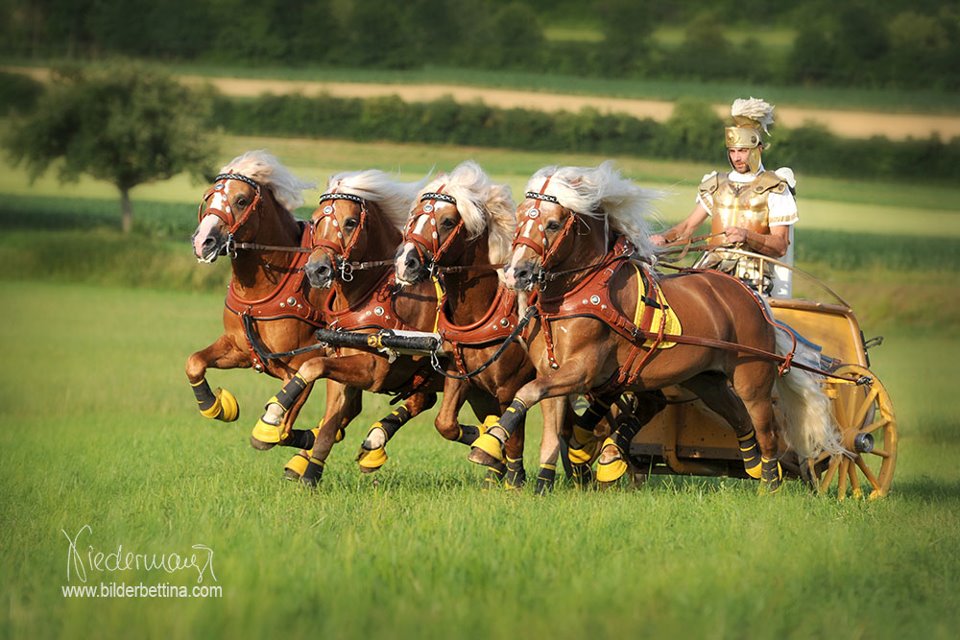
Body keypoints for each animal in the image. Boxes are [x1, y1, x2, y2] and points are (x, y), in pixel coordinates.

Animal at [188, 152, 330, 468]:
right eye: (209, 196)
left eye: (241, 200)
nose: (203, 242)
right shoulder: (238, 349)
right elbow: (194, 362)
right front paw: (218, 406)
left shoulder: (304, 361)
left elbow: (281, 429)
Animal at [468, 164, 844, 490]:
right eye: (520, 217)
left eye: (553, 224)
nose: (516, 273)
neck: (580, 293)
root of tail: (754, 299)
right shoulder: (554, 373)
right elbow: (546, 425)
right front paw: (543, 482)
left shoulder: (581, 371)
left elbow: (527, 393)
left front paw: (490, 442)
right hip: (707, 381)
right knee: (739, 420)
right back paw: (751, 466)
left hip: (752, 380)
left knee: (767, 432)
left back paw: (769, 484)